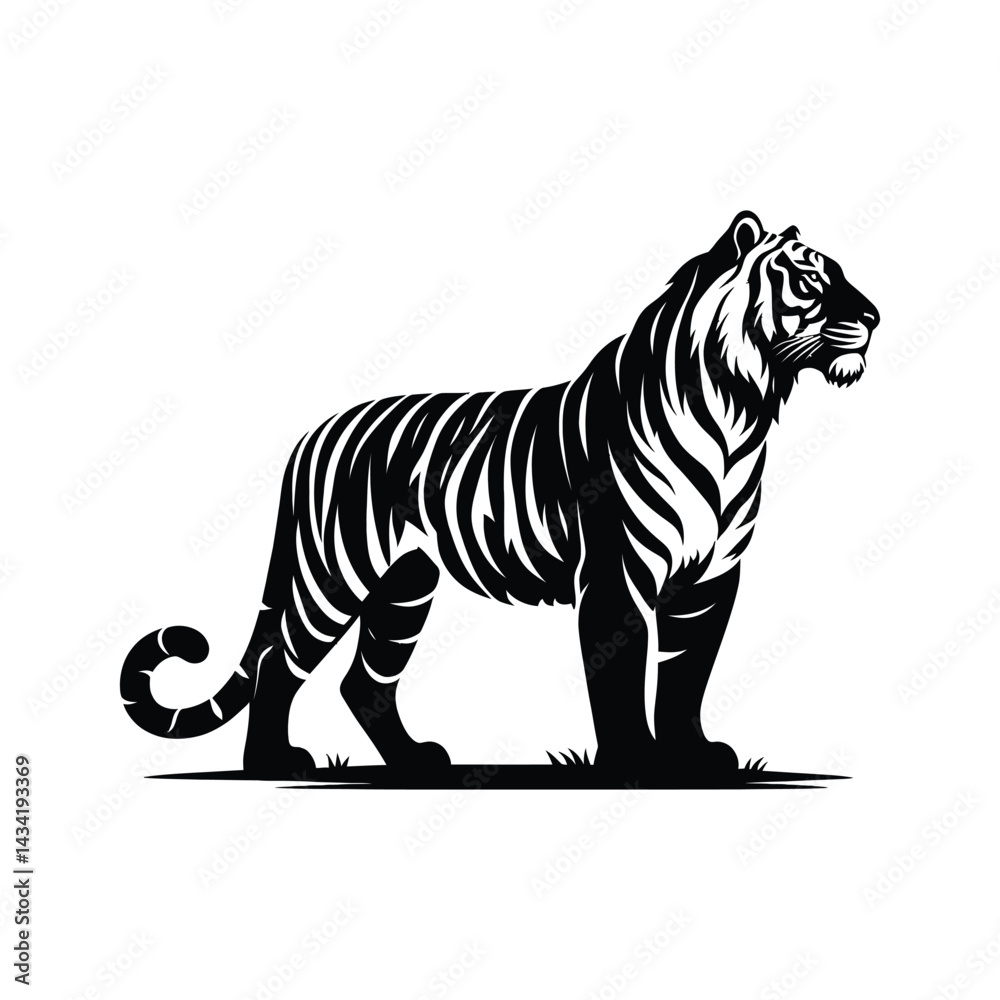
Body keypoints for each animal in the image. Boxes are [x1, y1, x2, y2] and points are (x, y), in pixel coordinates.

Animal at [120, 211, 879, 776]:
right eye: (809, 279)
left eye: (840, 273)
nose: (873, 316)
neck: (738, 413)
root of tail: (311, 435)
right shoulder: (617, 573)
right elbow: (623, 669)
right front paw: (635, 761)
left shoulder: (711, 577)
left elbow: (688, 671)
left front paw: (694, 756)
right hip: (333, 575)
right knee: (280, 661)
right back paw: (275, 761)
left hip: (405, 588)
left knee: (365, 680)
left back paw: (416, 760)